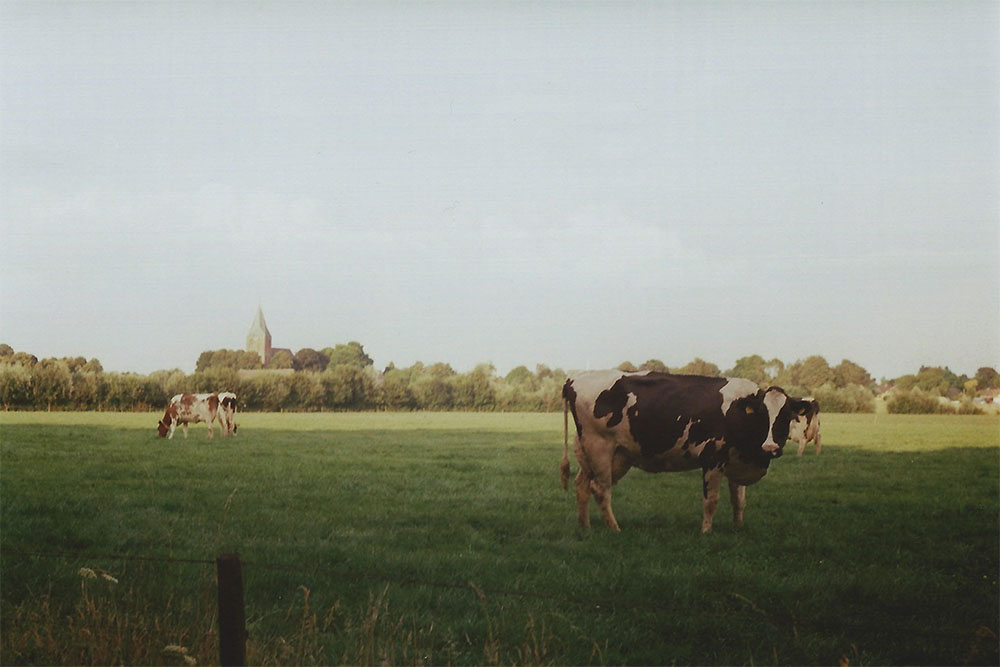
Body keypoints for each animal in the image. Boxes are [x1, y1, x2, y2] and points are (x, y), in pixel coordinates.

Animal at [560, 370, 816, 532]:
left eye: (786, 416)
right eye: (762, 414)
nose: (771, 447)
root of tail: (574, 378)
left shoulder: (736, 460)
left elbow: (739, 501)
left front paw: (738, 528)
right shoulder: (713, 458)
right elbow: (711, 500)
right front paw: (706, 531)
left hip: (607, 453)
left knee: (582, 484)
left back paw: (585, 526)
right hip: (599, 447)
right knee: (600, 489)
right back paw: (614, 528)